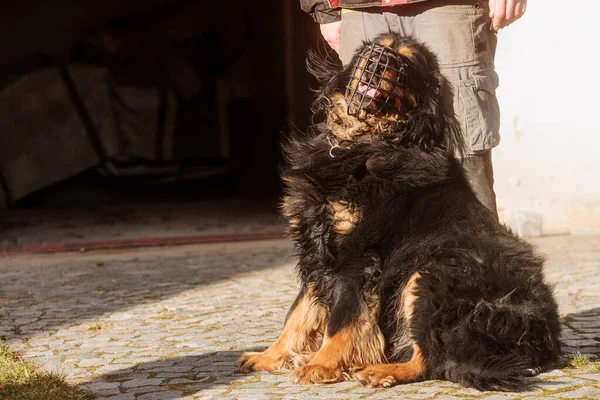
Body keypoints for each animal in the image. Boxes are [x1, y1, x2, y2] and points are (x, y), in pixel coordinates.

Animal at [236, 32, 564, 390]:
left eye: (408, 63)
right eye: (376, 46)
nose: (378, 59)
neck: (363, 142)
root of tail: (542, 344)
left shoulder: (358, 256)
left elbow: (342, 318)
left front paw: (321, 364)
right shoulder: (318, 248)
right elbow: (299, 313)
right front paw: (272, 355)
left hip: (428, 272)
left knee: (430, 358)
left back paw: (380, 370)